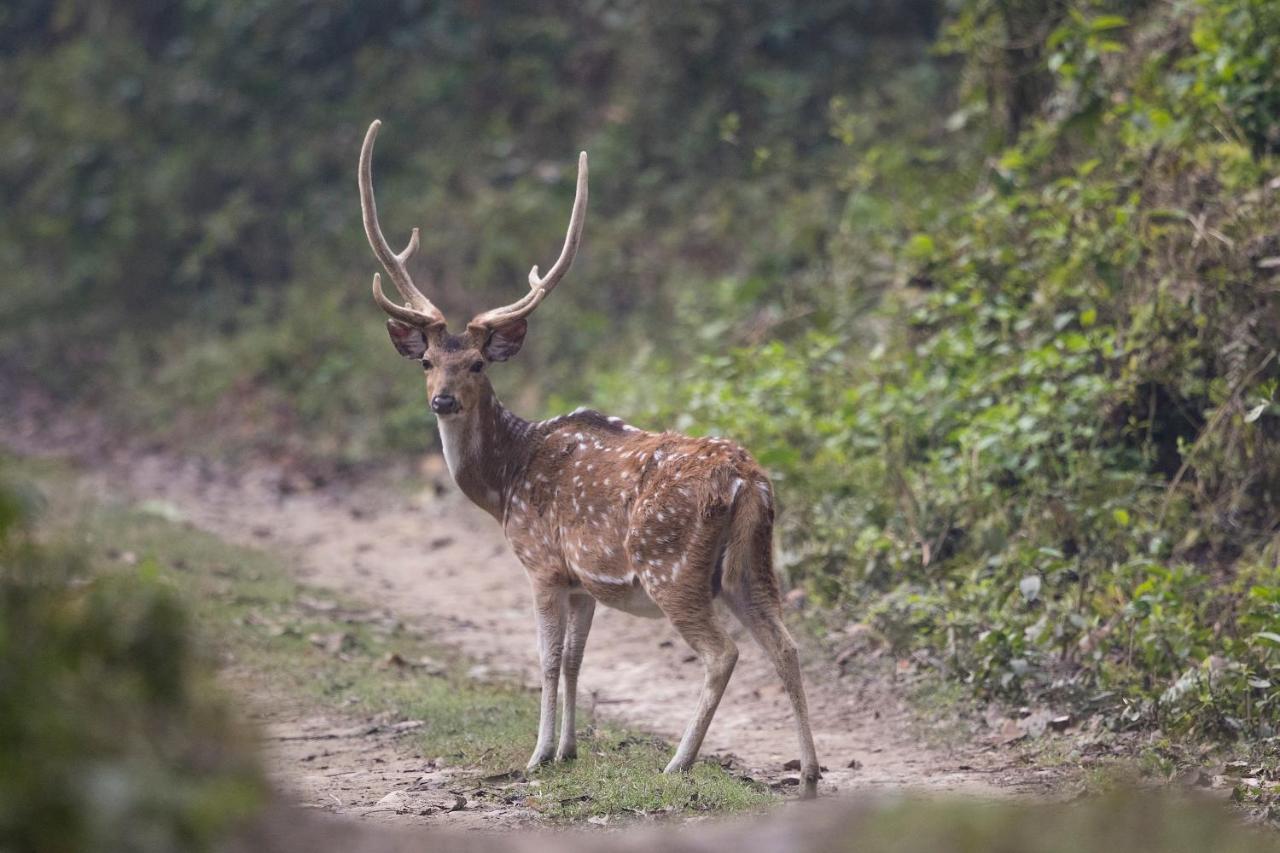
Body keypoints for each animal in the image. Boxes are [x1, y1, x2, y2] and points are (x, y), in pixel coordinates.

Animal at [358, 117, 819, 788]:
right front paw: (567, 751)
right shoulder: (583, 582)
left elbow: (548, 661)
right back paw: (809, 772)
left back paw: (679, 762)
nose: (442, 400)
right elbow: (576, 660)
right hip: (751, 563)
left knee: (723, 651)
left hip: (671, 565)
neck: (505, 481)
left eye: (476, 364)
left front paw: (536, 756)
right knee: (784, 643)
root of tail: (747, 479)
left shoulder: (543, 563)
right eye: (426, 362)